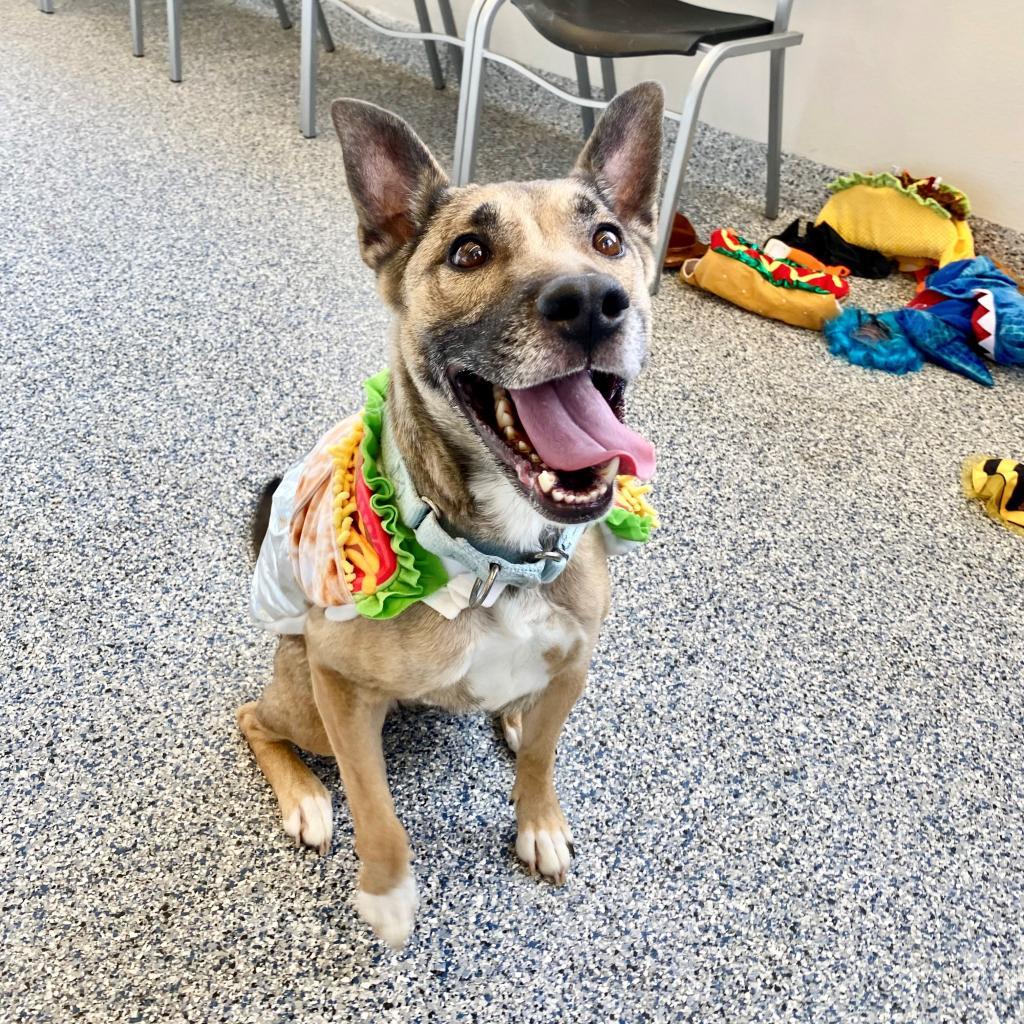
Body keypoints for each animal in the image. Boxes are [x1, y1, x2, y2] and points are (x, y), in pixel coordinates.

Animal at [238, 83, 663, 946]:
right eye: (467, 253)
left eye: (606, 239)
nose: (591, 303)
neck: (499, 562)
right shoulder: (339, 686)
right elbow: (375, 808)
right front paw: (387, 892)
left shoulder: (576, 663)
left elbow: (542, 757)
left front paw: (537, 819)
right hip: (301, 699)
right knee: (253, 721)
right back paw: (305, 798)